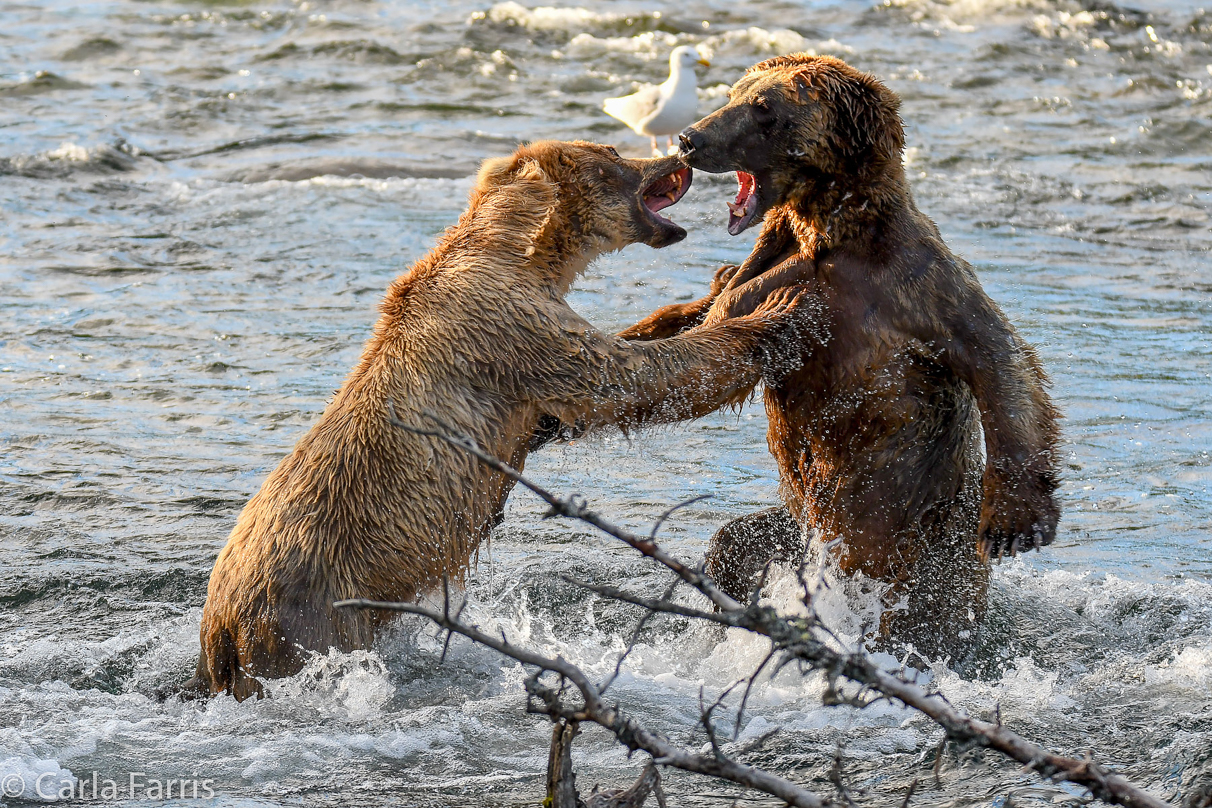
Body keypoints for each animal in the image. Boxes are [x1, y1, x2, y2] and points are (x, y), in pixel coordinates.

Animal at [189, 142, 809, 697]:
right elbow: (628, 378)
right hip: (313, 618)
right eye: (613, 153)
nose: (675, 154)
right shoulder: (507, 330)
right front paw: (773, 314)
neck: (524, 255)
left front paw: (710, 292)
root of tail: (218, 631)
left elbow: (599, 376)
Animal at [625, 55, 1061, 663]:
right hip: (807, 526)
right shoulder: (769, 265)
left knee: (908, 605)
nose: (691, 139)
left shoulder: (914, 285)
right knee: (737, 543)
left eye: (764, 109)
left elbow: (999, 355)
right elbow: (708, 317)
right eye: (736, 92)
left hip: (911, 541)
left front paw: (1015, 518)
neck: (829, 235)